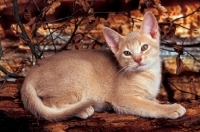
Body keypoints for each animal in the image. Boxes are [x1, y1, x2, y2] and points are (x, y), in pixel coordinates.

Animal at [20, 11, 186, 121]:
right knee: (50, 103)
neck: (150, 74)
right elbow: (149, 106)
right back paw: (83, 110)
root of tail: (31, 73)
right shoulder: (123, 98)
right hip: (81, 71)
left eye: (144, 47)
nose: (138, 60)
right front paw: (171, 108)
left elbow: (152, 100)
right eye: (127, 53)